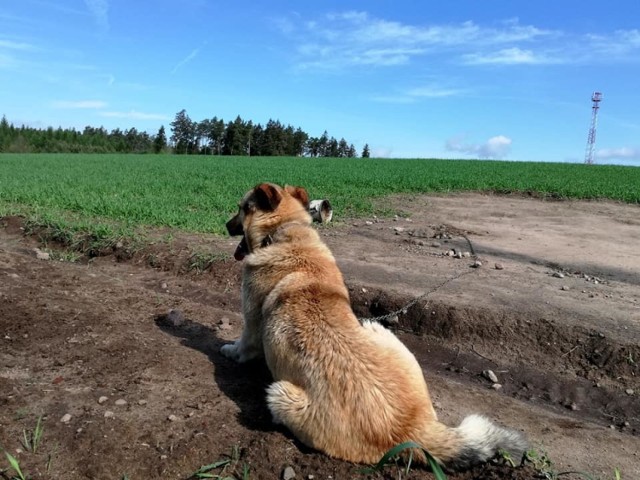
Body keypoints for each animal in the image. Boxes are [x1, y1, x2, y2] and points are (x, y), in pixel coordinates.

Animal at [220, 183, 524, 468]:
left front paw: (228, 351)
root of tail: (410, 431)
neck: (285, 230)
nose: (225, 225)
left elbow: (242, 345)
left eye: (240, 208)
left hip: (280, 392)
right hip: (382, 335)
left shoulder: (251, 325)